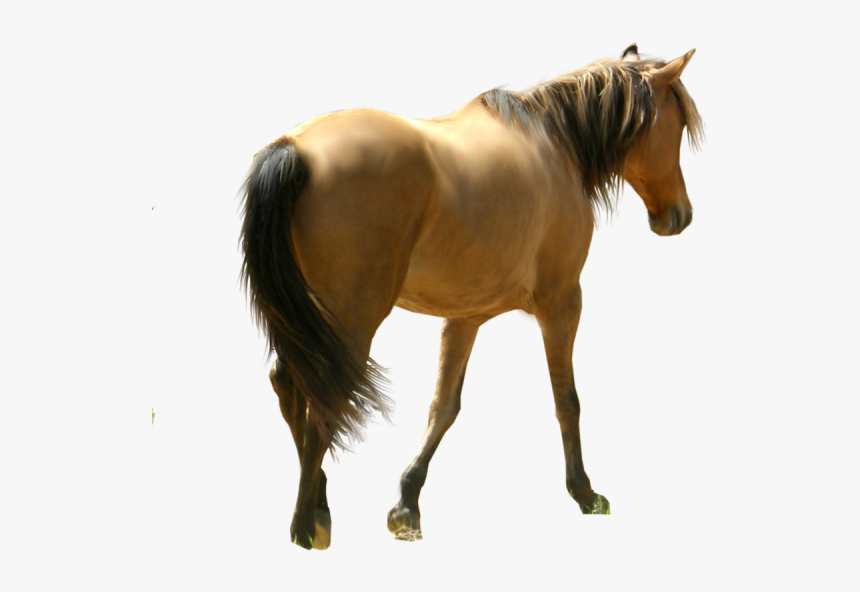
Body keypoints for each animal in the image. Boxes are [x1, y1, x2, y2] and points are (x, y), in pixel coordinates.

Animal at [239, 44, 704, 550]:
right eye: (677, 124)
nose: (679, 216)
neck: (556, 146)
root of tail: (294, 148)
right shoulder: (562, 301)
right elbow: (567, 400)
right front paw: (584, 492)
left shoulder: (465, 316)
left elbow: (444, 406)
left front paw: (407, 503)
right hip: (352, 320)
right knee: (322, 401)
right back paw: (305, 525)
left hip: (307, 317)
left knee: (289, 385)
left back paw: (319, 504)